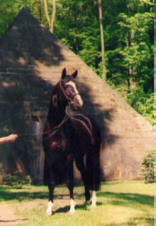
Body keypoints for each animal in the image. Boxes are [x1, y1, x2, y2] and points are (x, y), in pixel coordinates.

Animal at [42, 68, 101, 215]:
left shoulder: (68, 156)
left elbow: (69, 182)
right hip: (79, 157)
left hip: (93, 154)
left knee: (93, 175)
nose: (79, 104)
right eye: (66, 86)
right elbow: (51, 183)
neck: (55, 127)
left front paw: (72, 208)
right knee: (85, 173)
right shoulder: (50, 157)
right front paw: (49, 209)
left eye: (77, 85)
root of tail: (89, 120)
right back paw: (87, 201)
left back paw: (93, 203)